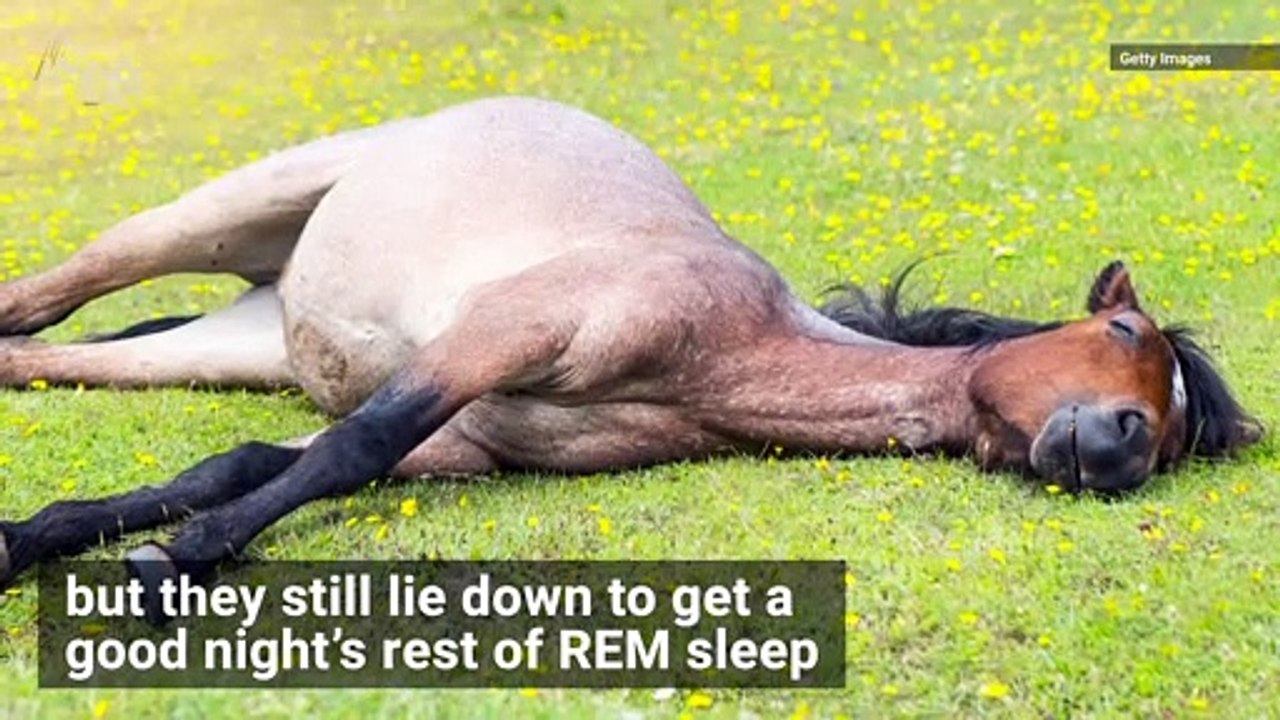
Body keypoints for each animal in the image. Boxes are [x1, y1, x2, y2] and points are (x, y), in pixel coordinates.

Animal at [0, 96, 1261, 596]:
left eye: (1176, 436)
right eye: (1120, 330)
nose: (1119, 444)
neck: (727, 351)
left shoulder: (471, 446)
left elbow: (250, 464)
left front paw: (43, 540)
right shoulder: (497, 338)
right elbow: (350, 450)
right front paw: (173, 568)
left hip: (236, 340)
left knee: (56, 358)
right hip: (219, 213)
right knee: (58, 290)